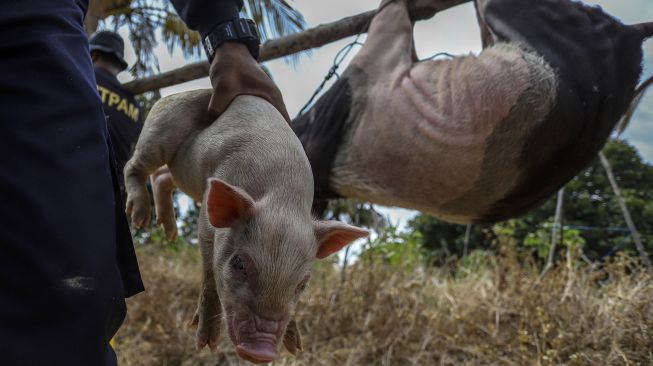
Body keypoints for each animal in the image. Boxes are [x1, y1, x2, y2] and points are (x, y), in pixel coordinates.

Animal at [121, 92, 366, 364]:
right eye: (238, 264)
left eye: (302, 284)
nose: (261, 351)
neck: (282, 199)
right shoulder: (207, 222)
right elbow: (209, 272)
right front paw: (206, 344)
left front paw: (296, 347)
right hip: (159, 129)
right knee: (134, 166)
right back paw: (139, 218)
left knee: (162, 176)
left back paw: (170, 233)